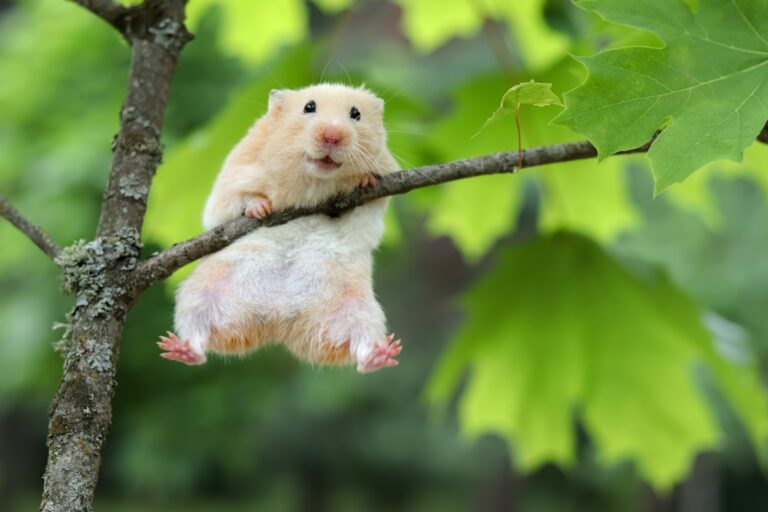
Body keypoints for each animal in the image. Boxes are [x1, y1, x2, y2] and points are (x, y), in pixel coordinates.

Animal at [158, 83, 402, 373]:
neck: (314, 181)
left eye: (356, 114)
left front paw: (366, 181)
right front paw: (260, 208)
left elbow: (365, 203)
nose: (332, 136)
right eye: (309, 107)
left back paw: (381, 355)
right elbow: (239, 199)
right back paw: (179, 349)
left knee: (361, 349)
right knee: (197, 335)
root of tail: (278, 321)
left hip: (361, 310)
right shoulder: (233, 178)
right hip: (199, 295)